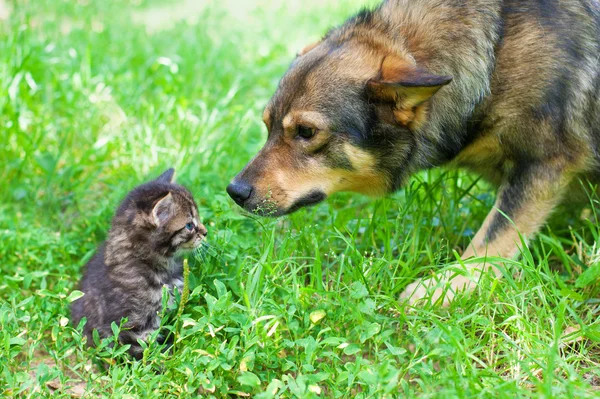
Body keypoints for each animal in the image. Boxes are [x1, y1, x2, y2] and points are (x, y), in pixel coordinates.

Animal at [226, 0, 600, 306]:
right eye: (267, 125)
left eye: (306, 132)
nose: (234, 191)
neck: (494, 53)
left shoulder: (542, 163)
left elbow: (493, 236)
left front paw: (446, 286)